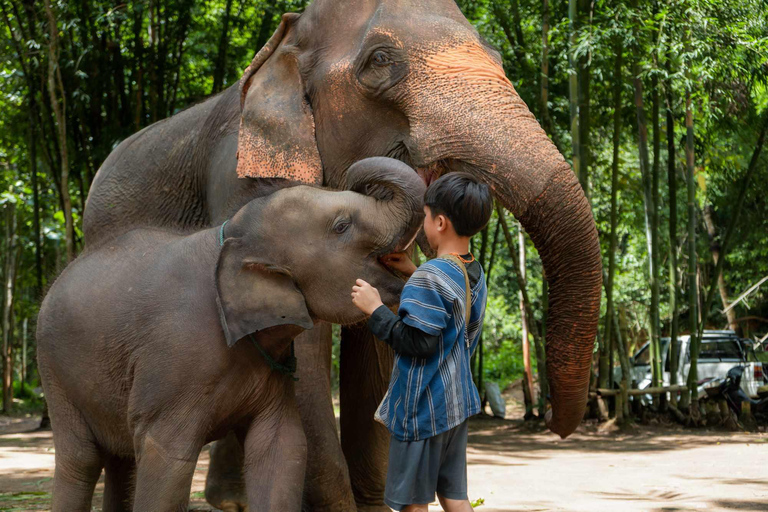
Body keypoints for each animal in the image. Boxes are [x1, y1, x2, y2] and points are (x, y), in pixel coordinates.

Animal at [37, 158, 426, 510]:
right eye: (342, 226)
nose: (355, 175)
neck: (230, 236)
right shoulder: (171, 368)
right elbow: (167, 459)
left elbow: (281, 448)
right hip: (56, 376)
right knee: (81, 460)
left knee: (121, 461)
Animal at [82, 0, 600, 508]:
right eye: (380, 60)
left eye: (497, 56)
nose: (549, 421)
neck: (285, 41)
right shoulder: (241, 180)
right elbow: (305, 353)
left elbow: (378, 348)